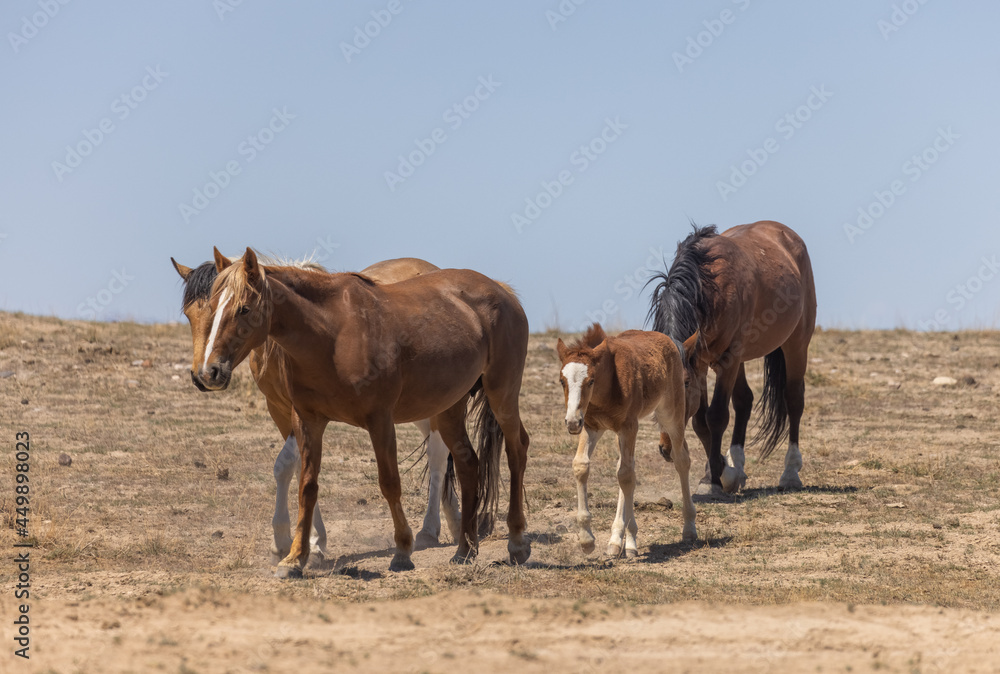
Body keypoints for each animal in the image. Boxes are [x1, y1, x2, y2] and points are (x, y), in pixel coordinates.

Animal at [194, 249, 532, 576]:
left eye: (243, 309)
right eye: (209, 307)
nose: (208, 373)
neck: (331, 335)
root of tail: (501, 290)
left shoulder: (379, 420)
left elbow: (389, 483)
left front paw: (402, 551)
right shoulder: (307, 421)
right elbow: (307, 485)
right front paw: (295, 558)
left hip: (502, 394)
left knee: (517, 449)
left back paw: (516, 543)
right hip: (449, 408)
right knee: (468, 464)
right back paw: (465, 551)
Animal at [644, 220, 816, 494]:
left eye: (684, 383)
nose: (666, 448)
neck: (709, 286)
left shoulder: (727, 360)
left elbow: (716, 416)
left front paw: (716, 480)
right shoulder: (701, 364)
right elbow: (701, 422)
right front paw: (717, 474)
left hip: (796, 344)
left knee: (794, 400)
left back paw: (790, 473)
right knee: (744, 401)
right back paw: (738, 465)